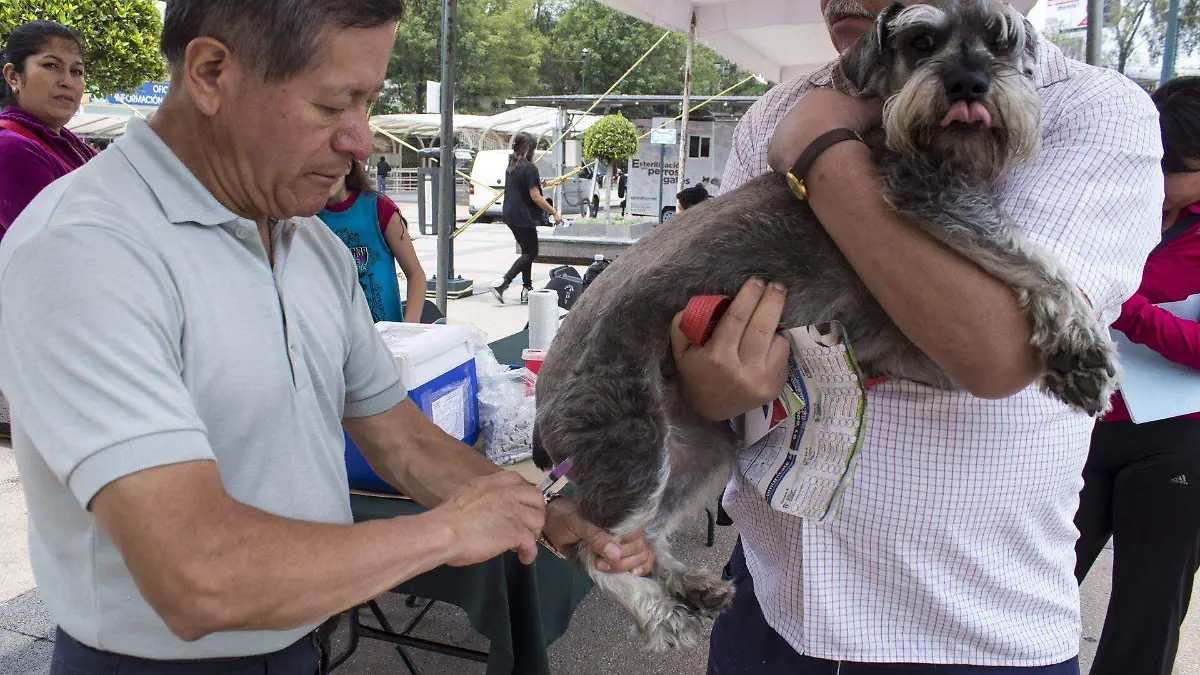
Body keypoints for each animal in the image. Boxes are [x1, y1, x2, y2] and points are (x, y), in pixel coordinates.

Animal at [535, 0, 1113, 653]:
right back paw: (662, 615)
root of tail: (543, 406)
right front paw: (1082, 348)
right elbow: (1038, 258)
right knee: (594, 549)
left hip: (703, 450)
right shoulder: (930, 196)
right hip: (635, 444)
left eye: (1001, 38)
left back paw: (690, 586)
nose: (970, 84)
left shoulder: (912, 348)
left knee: (647, 536)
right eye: (921, 41)